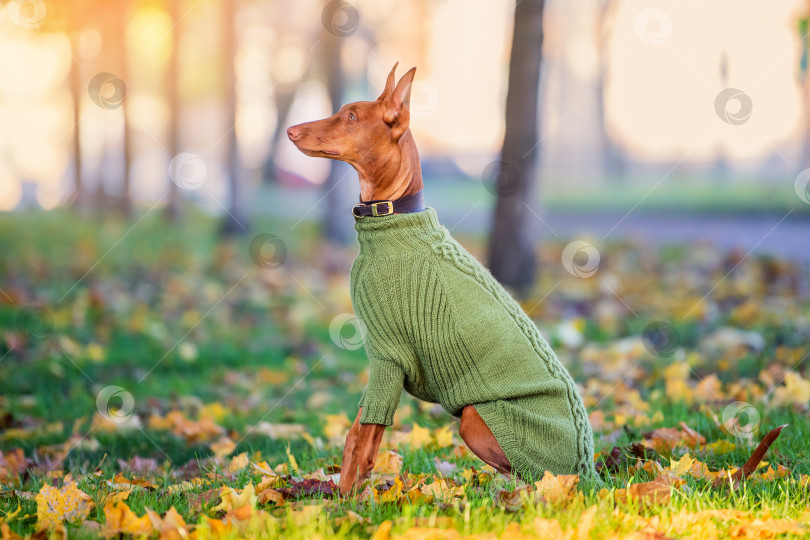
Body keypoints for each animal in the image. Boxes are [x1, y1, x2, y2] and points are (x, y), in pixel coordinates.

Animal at [286, 63, 512, 494]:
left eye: (351, 116)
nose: (291, 130)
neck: (392, 215)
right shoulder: (385, 360)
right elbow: (361, 439)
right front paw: (349, 493)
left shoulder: (388, 357)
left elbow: (360, 436)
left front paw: (344, 500)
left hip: (473, 421)